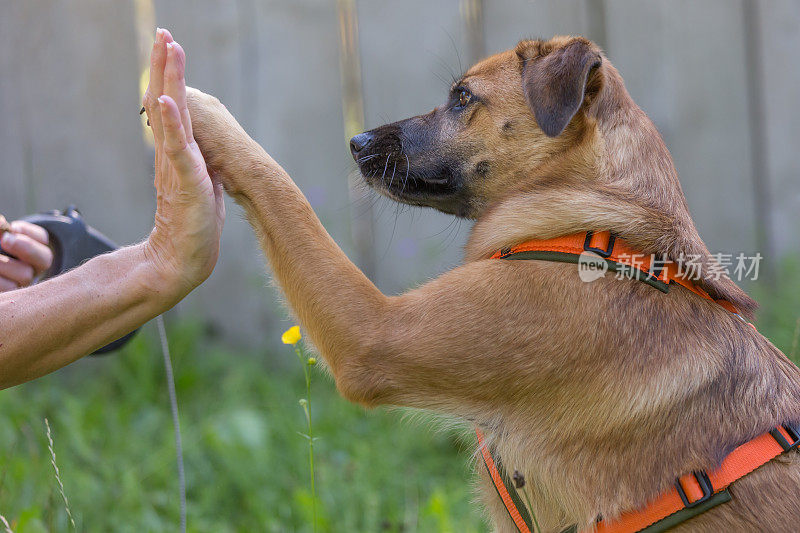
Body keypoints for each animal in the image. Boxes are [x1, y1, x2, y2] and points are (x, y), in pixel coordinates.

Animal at [183, 35, 800, 528]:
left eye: (462, 98)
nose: (355, 142)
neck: (597, 227)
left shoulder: (374, 336)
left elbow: (281, 189)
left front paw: (198, 110)